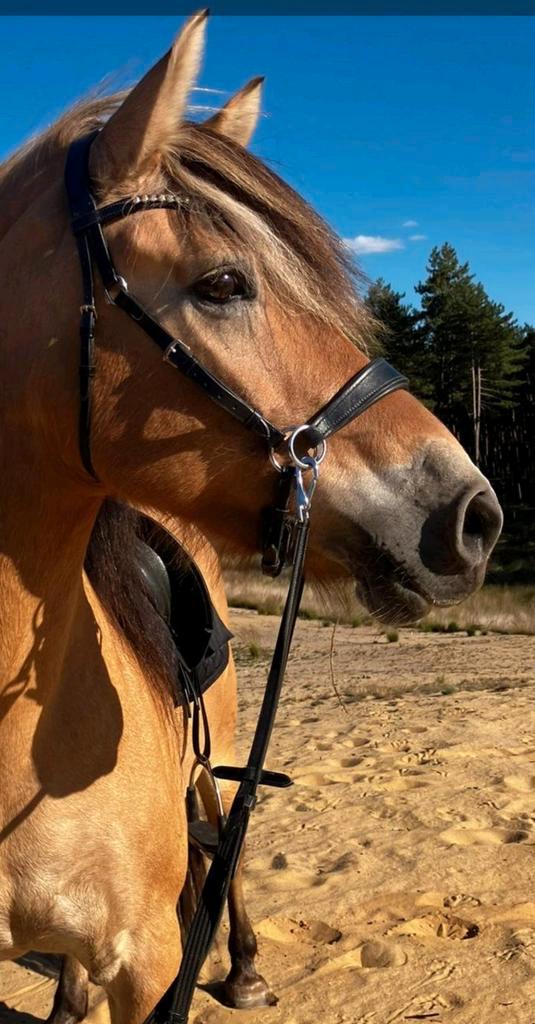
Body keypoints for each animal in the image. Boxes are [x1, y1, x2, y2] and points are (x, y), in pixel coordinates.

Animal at [0, 11, 502, 1024]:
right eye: (225, 284)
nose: (473, 515)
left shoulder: (148, 961)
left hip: (219, 745)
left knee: (226, 829)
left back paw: (242, 966)